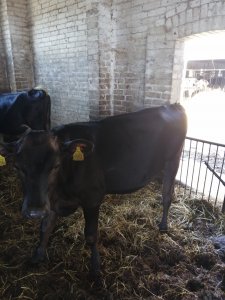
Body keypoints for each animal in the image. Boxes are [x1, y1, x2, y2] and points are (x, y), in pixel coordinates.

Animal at [0, 104, 186, 280]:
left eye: (55, 166)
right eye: (17, 167)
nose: (34, 211)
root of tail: (173, 106)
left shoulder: (92, 198)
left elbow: (90, 235)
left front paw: (95, 268)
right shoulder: (51, 201)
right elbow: (45, 227)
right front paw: (37, 256)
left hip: (173, 160)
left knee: (167, 196)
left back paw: (163, 226)